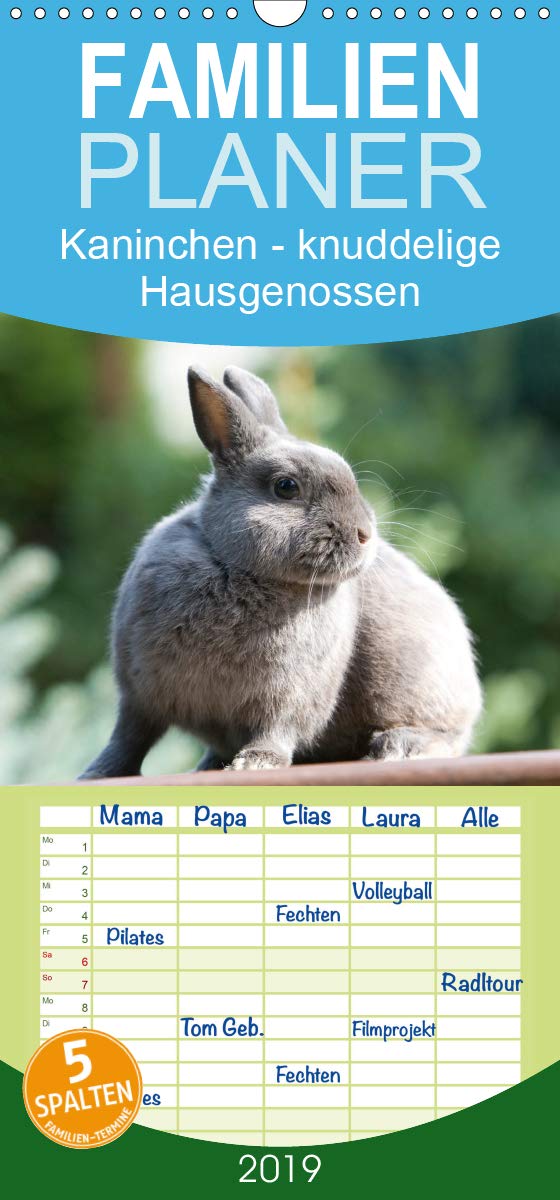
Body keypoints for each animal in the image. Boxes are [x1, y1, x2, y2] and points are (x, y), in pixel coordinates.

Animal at [79, 365, 482, 779]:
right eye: (286, 487)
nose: (365, 534)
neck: (236, 568)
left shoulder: (289, 696)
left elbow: (276, 729)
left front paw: (255, 763)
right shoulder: (138, 694)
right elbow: (128, 739)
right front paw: (96, 773)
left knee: (446, 739)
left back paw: (398, 748)